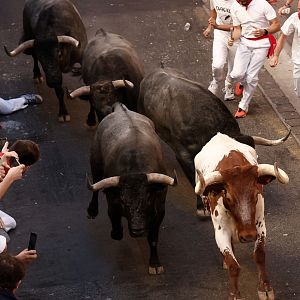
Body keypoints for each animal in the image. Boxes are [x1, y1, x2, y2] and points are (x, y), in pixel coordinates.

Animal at [86, 103, 176, 274]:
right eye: (122, 200)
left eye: (148, 197)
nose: (137, 229)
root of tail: (121, 109)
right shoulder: (113, 203)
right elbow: (115, 223)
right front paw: (117, 232)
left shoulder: (160, 210)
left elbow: (153, 238)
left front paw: (155, 263)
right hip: (95, 163)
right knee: (95, 186)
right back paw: (92, 210)